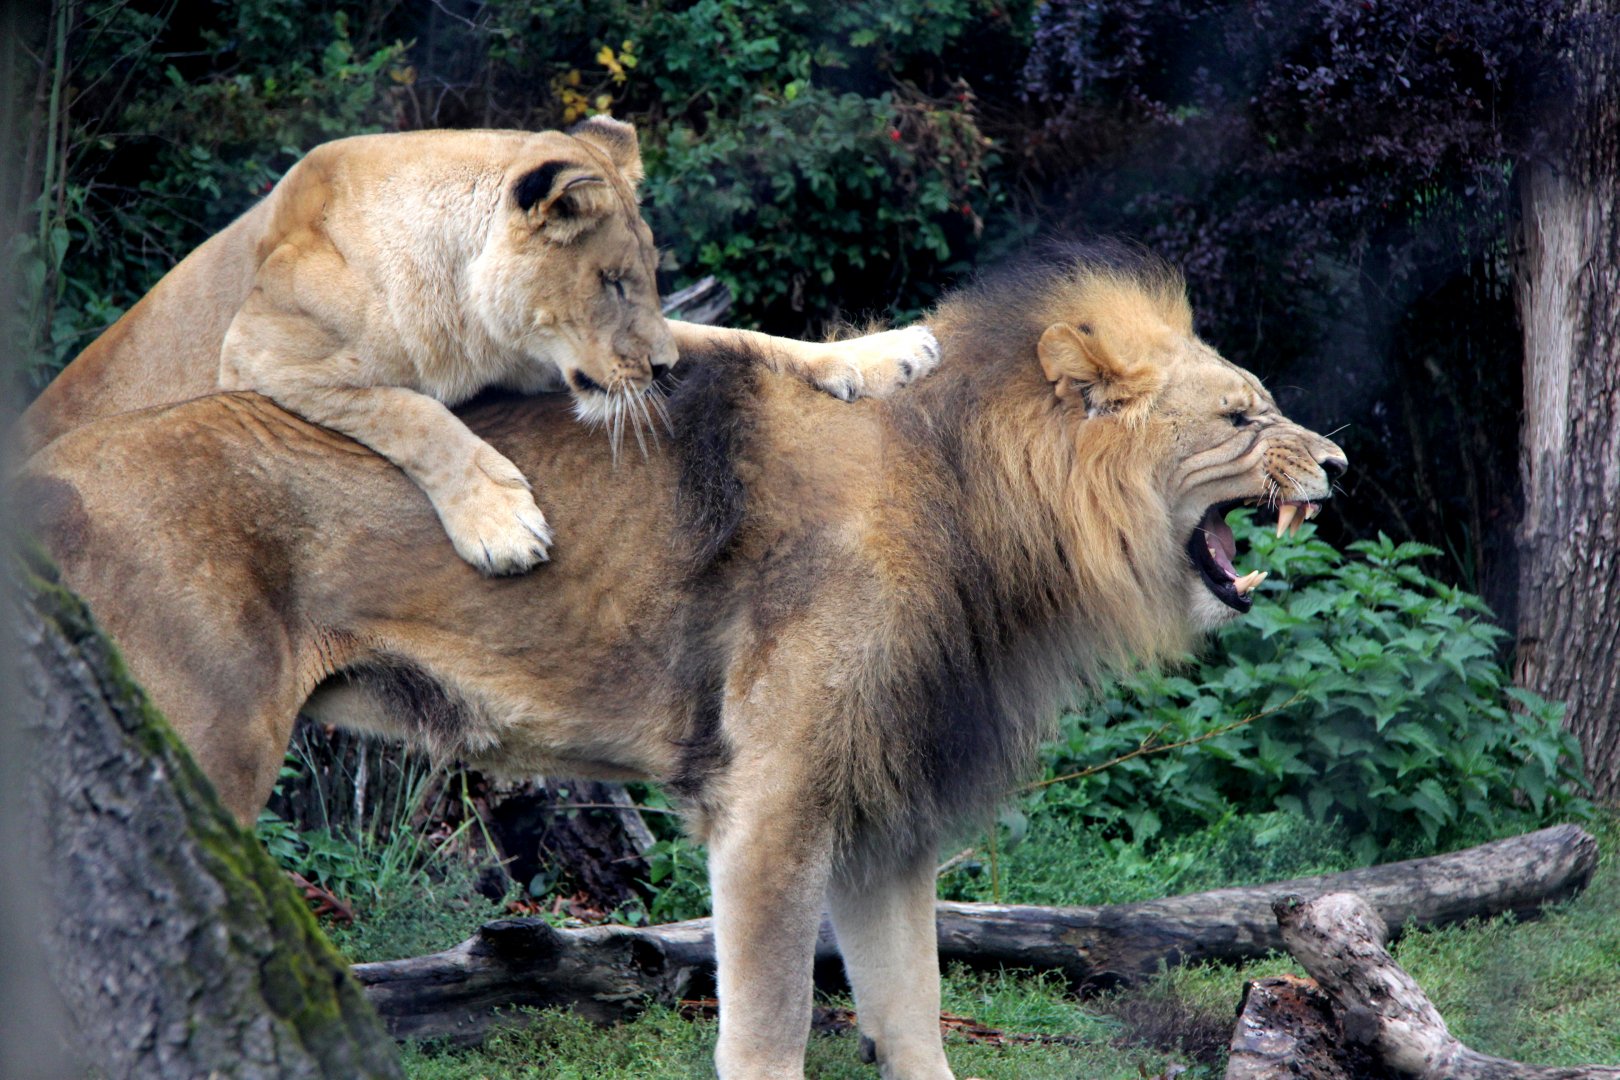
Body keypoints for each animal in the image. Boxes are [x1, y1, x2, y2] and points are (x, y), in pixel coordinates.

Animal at [16, 116, 939, 574]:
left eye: (647, 276)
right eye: (611, 281)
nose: (664, 375)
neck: (471, 315)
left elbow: (736, 333)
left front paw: (887, 353)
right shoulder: (255, 354)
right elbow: (413, 411)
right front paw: (499, 522)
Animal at [23, 245, 1345, 1079]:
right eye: (1241, 419)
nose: (1336, 465)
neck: (983, 510)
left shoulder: (886, 819)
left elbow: (914, 1015)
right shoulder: (774, 804)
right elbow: (769, 1023)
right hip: (201, 742)